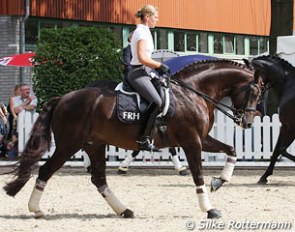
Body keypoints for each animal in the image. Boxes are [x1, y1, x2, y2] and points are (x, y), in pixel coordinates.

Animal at [3, 59, 262, 219]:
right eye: (255, 91)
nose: (248, 122)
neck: (192, 91)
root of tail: (63, 98)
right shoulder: (192, 142)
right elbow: (198, 174)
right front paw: (209, 209)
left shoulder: (201, 139)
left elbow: (231, 150)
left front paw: (220, 181)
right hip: (69, 145)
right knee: (46, 170)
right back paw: (36, 209)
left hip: (94, 145)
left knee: (98, 179)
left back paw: (124, 210)